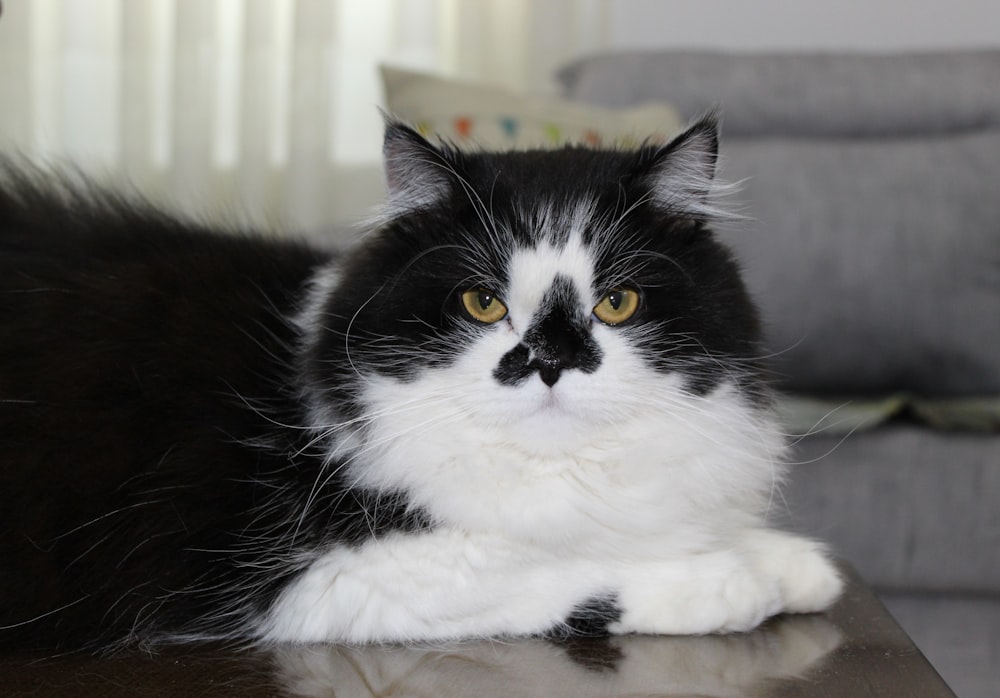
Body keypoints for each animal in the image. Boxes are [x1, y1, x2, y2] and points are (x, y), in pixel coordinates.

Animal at [0, 115, 844, 652]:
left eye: (617, 303)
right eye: (483, 303)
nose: (548, 363)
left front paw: (795, 565)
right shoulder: (333, 580)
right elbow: (561, 564)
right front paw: (732, 582)